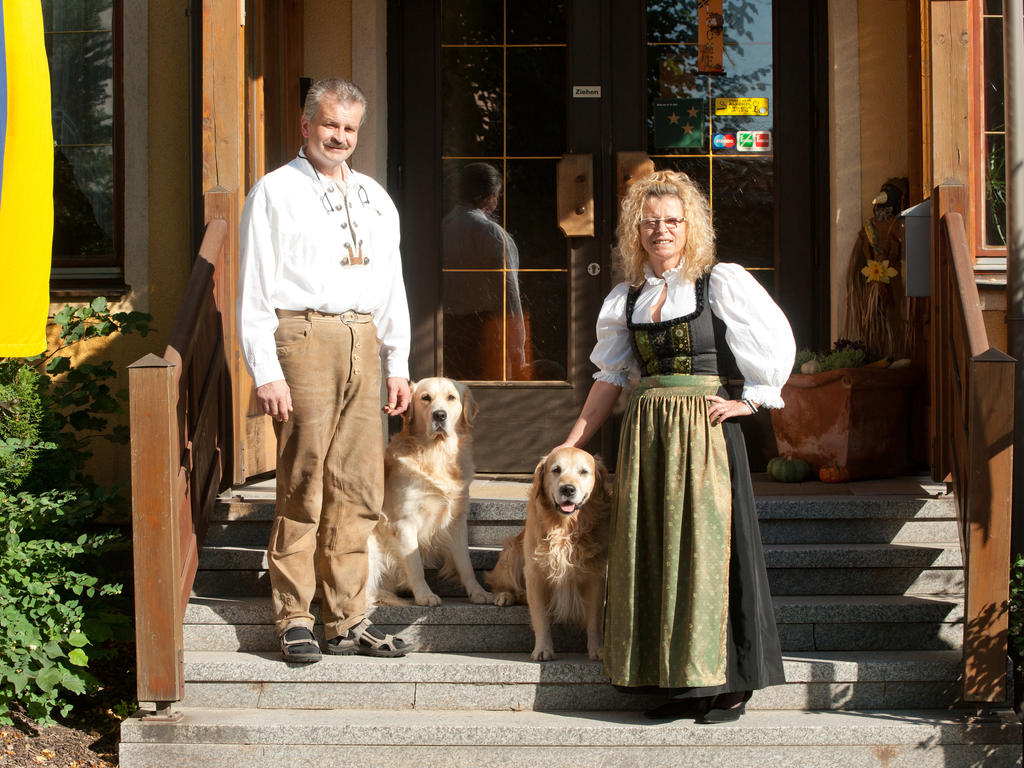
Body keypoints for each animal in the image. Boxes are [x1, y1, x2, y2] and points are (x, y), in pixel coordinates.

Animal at [366, 376, 493, 606]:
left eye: (451, 397)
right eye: (425, 398)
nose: (439, 415)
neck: (436, 454)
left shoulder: (457, 521)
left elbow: (466, 564)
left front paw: (478, 592)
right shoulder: (405, 522)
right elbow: (415, 564)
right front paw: (424, 595)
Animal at [485, 444, 610, 663]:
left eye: (584, 472)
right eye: (556, 470)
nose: (567, 489)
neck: (565, 527)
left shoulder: (596, 575)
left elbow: (595, 620)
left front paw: (597, 650)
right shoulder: (535, 574)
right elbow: (541, 617)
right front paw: (543, 649)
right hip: (512, 551)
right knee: (501, 584)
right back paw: (504, 596)